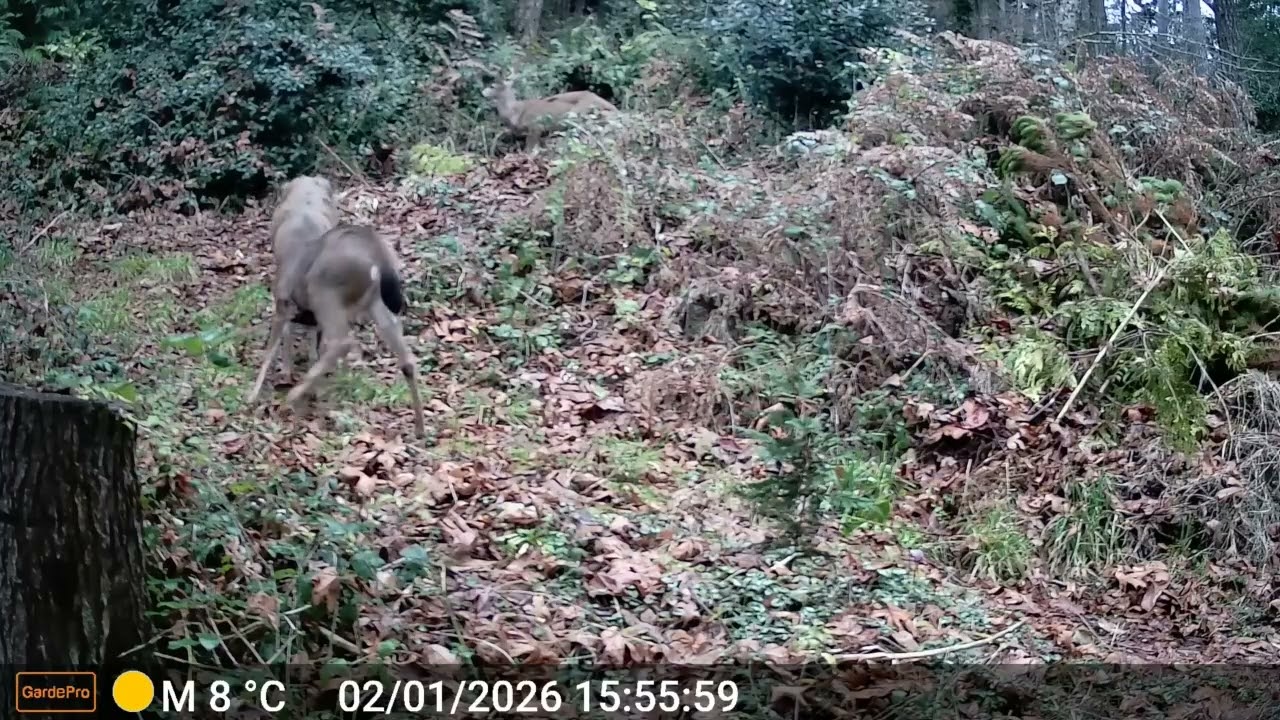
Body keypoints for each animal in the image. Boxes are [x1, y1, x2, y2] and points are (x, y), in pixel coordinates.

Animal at [245, 178, 426, 438]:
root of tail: (378, 259)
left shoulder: (283, 302)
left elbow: (271, 349)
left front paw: (253, 394)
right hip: (371, 301)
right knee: (406, 358)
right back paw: (420, 428)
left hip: (325, 291)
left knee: (342, 341)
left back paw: (294, 395)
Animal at [481, 75, 618, 150]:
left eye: (492, 86)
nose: (482, 92)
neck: (515, 112)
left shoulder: (535, 126)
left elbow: (529, 150)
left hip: (577, 114)